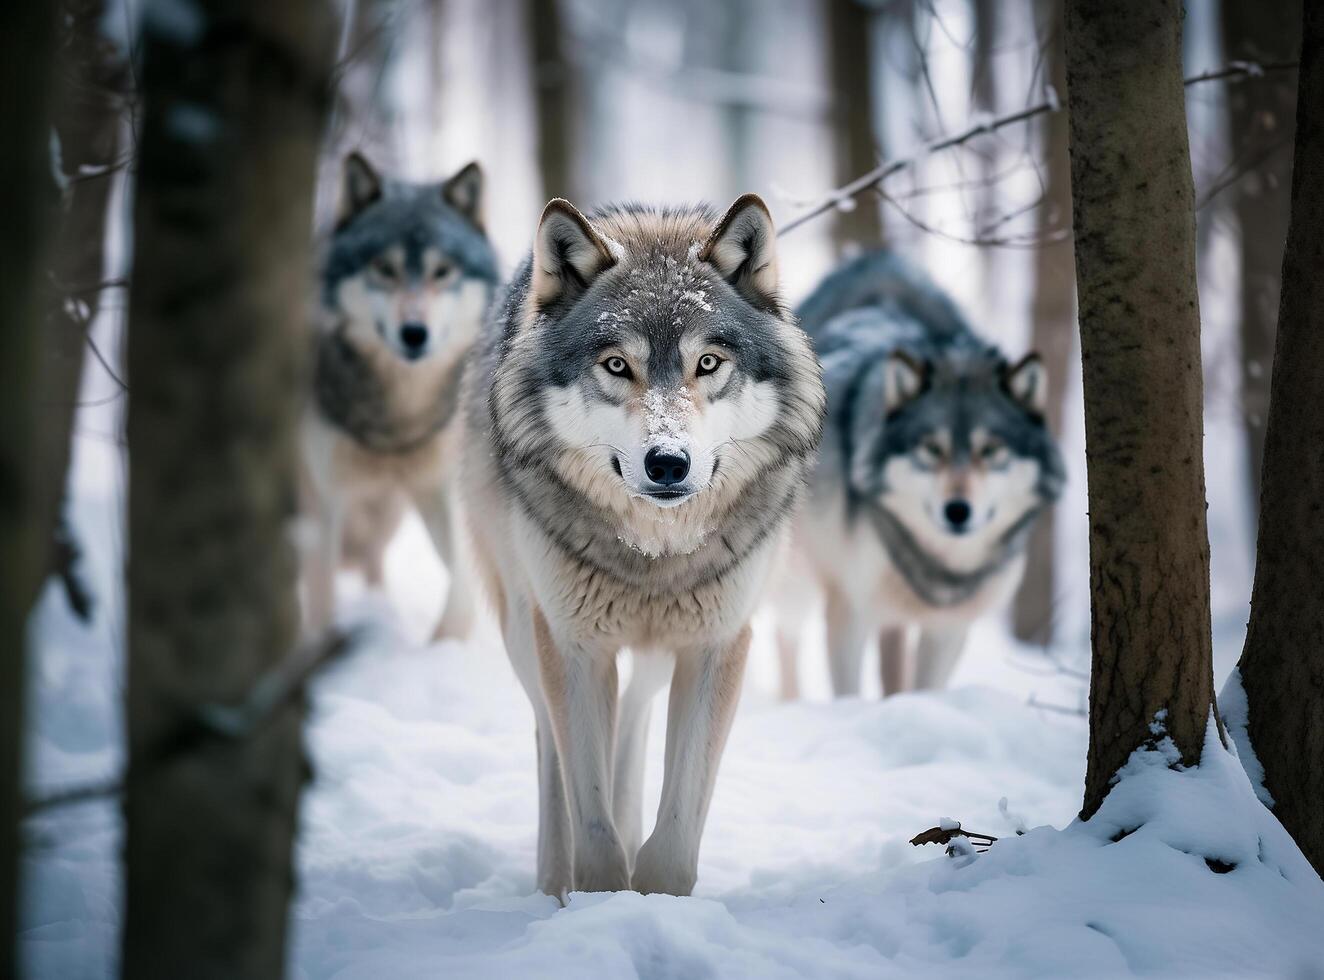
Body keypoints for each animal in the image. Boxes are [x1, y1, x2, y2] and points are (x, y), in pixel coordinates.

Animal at [300, 154, 497, 635]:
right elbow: (322, 598)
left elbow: (463, 586)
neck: (399, 419)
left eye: (441, 271)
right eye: (384, 269)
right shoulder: (325, 499)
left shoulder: (445, 487)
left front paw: (447, 641)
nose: (414, 333)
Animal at [460, 192, 820, 895]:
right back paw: (552, 879)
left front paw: (653, 892)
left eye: (707, 363)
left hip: (654, 654)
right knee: (550, 741)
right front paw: (597, 895)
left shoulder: (715, 646)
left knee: (632, 715)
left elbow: (675, 834)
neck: (654, 554)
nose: (668, 463)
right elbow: (591, 823)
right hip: (525, 628)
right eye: (617, 365)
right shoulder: (571, 647)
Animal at [773, 250, 1064, 699]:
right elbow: (848, 689)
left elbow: (926, 687)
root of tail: (874, 260)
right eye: (932, 449)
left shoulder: (947, 628)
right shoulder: (849, 608)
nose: (958, 511)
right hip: (796, 575)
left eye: (989, 450)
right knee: (785, 636)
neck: (939, 566)